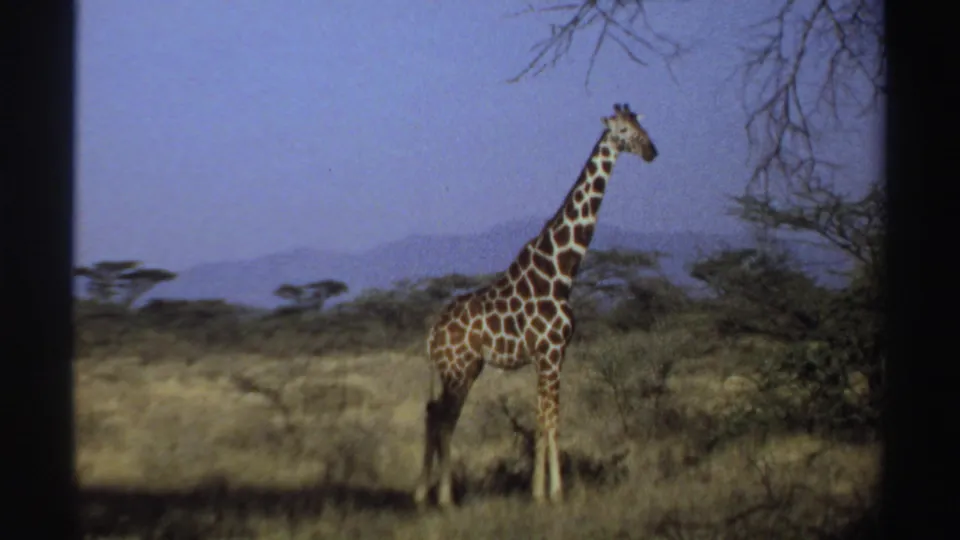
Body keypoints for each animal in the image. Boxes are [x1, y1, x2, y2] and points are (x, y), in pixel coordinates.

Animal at [414, 103, 658, 508]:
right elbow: (553, 419)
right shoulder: (552, 352)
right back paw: (444, 497)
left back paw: (424, 494)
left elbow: (541, 417)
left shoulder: (547, 357)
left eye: (641, 124)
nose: (652, 151)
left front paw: (537, 491)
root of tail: (431, 334)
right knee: (443, 419)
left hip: (465, 369)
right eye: (623, 130)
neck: (561, 272)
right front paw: (557, 492)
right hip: (458, 370)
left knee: (435, 415)